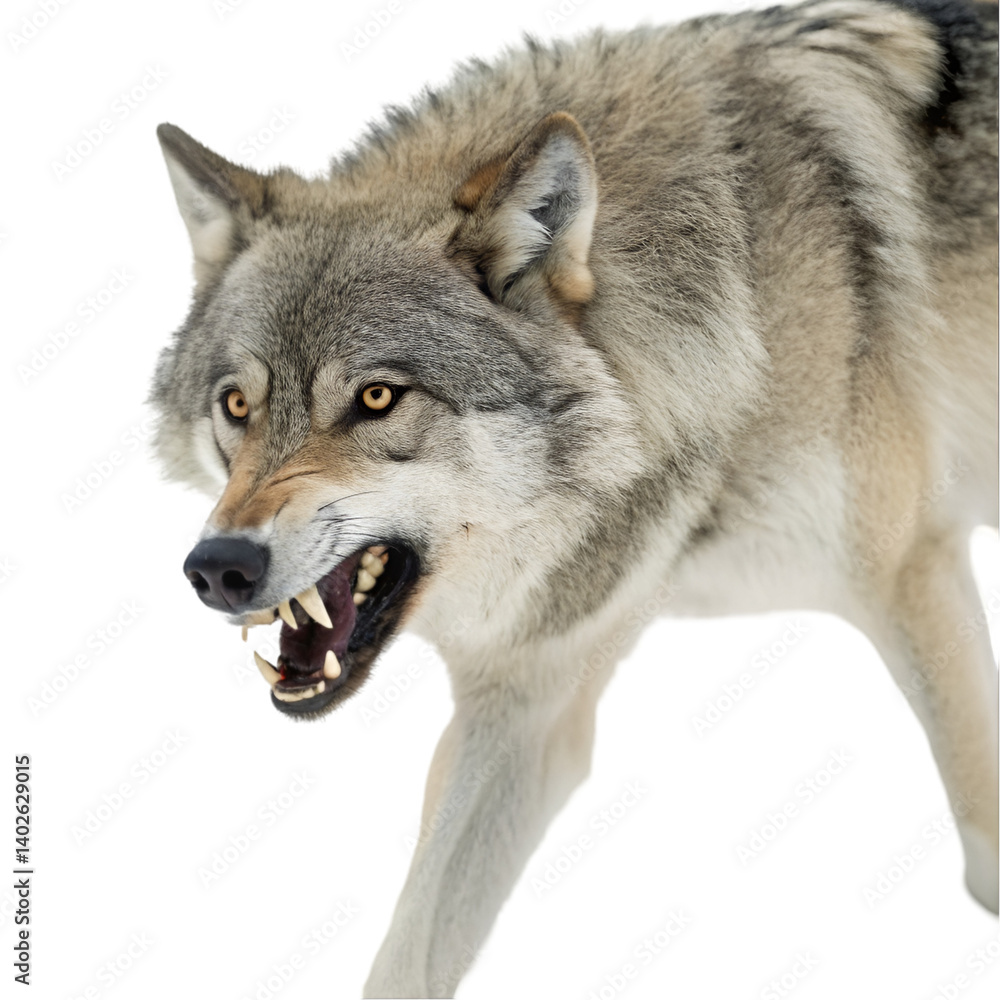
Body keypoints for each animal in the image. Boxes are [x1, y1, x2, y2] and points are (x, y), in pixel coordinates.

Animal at [150, 0, 998, 994]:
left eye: (376, 398)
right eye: (237, 406)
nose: (218, 567)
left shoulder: (915, 567)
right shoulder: (529, 695)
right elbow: (409, 953)